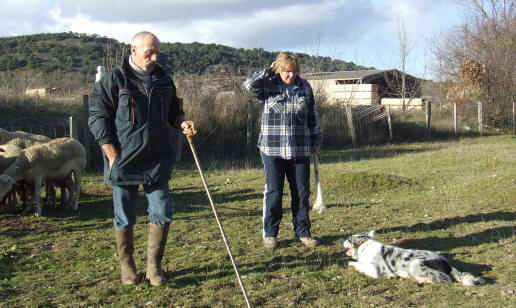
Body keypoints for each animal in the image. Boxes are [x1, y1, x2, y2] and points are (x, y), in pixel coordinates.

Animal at [344, 231, 486, 286]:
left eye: (349, 239)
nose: (342, 242)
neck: (364, 246)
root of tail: (447, 264)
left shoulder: (374, 272)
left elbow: (356, 264)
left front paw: (350, 263)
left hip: (416, 263)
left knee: (445, 278)